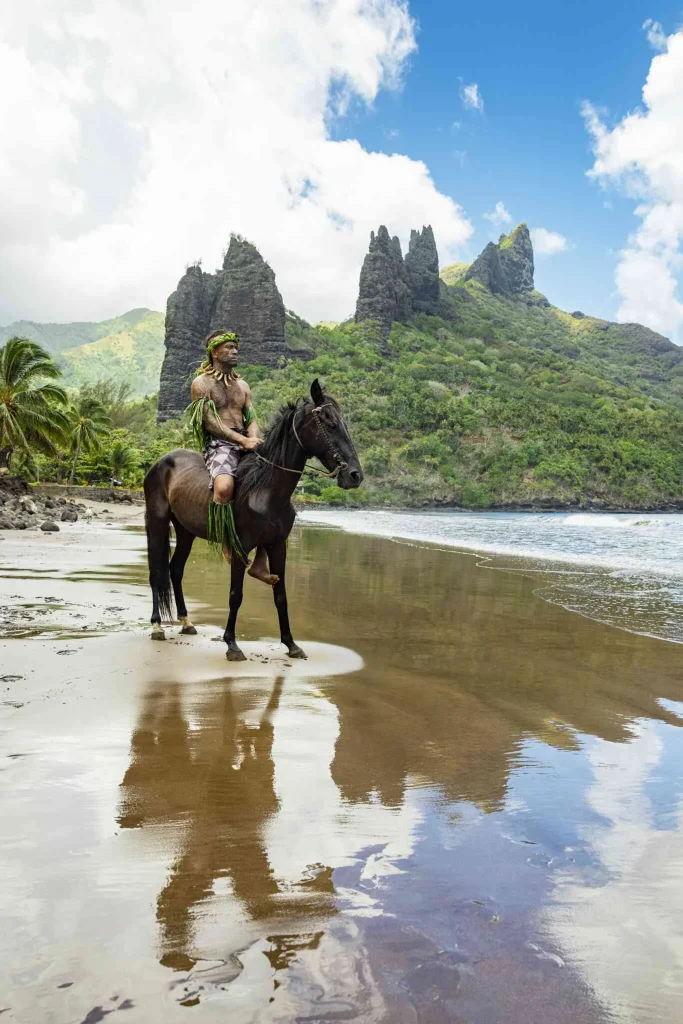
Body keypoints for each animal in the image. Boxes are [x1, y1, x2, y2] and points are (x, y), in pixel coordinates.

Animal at [143, 380, 362, 659]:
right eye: (330, 424)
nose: (355, 475)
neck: (266, 490)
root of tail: (160, 462)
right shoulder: (240, 547)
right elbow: (236, 595)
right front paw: (232, 644)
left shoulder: (278, 545)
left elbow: (280, 596)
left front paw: (291, 644)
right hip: (157, 523)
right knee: (156, 572)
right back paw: (157, 626)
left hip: (185, 531)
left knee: (175, 570)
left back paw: (186, 622)